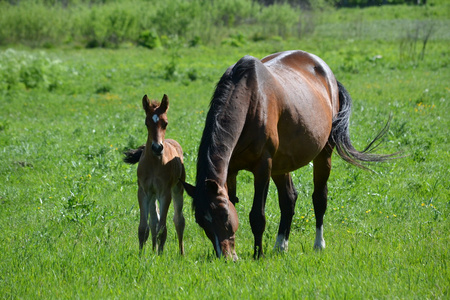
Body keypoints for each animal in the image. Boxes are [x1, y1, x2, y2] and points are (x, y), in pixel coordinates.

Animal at [123, 95, 185, 254]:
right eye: (146, 123)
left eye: (165, 123)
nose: (157, 147)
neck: (154, 164)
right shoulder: (143, 192)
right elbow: (143, 228)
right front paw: (141, 255)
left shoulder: (165, 193)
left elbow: (163, 229)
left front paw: (160, 256)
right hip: (152, 195)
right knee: (153, 221)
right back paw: (152, 250)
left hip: (178, 189)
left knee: (179, 220)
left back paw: (181, 253)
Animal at [181, 49, 396, 260]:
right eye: (201, 222)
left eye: (224, 216)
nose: (225, 257)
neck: (251, 100)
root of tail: (329, 75)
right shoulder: (232, 169)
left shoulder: (263, 167)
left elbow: (257, 216)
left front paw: (257, 254)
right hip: (280, 165)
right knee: (289, 200)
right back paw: (280, 246)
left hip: (322, 155)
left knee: (319, 198)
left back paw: (318, 244)